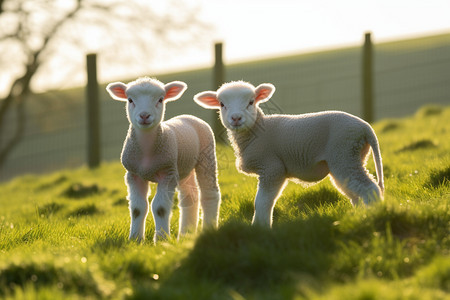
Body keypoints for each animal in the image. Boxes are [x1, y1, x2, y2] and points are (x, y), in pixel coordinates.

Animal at [104, 77, 220, 241]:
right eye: (130, 100)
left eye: (160, 99)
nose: (144, 116)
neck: (147, 153)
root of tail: (188, 116)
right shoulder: (134, 175)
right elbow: (137, 209)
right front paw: (135, 239)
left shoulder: (168, 174)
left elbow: (160, 208)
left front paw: (161, 239)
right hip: (183, 168)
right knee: (190, 197)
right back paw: (185, 233)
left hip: (206, 158)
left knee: (210, 194)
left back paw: (208, 228)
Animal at [193, 81, 384, 226]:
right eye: (222, 104)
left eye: (251, 102)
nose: (236, 118)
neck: (257, 131)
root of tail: (365, 128)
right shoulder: (275, 171)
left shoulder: (272, 168)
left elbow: (262, 202)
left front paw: (259, 228)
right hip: (351, 156)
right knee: (354, 193)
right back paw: (359, 216)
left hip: (344, 154)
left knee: (369, 189)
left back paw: (373, 215)